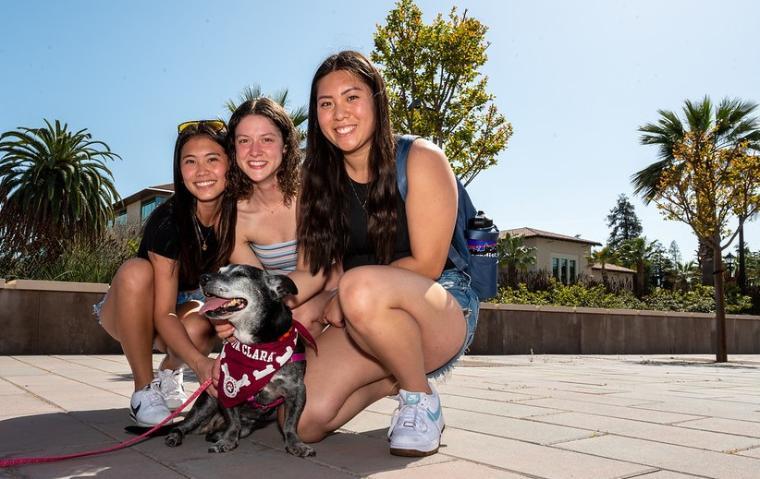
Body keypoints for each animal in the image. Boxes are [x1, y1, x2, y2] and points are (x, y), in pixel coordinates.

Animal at [165, 266, 316, 458]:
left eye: (240, 274)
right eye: (219, 270)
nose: (203, 278)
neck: (257, 346)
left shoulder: (296, 390)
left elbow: (290, 423)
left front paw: (296, 444)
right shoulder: (225, 389)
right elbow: (233, 421)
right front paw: (228, 441)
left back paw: (215, 434)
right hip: (206, 404)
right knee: (183, 425)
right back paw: (176, 436)